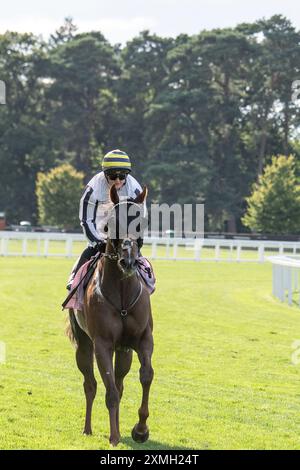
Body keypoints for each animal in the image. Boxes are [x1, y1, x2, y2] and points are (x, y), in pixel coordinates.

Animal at [67, 185, 154, 446]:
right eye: (113, 221)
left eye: (142, 221)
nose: (128, 261)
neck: (122, 296)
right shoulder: (102, 344)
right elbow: (110, 392)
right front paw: (114, 436)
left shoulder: (142, 340)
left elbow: (146, 376)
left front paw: (141, 429)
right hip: (84, 346)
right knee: (91, 384)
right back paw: (87, 428)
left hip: (123, 351)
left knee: (120, 382)